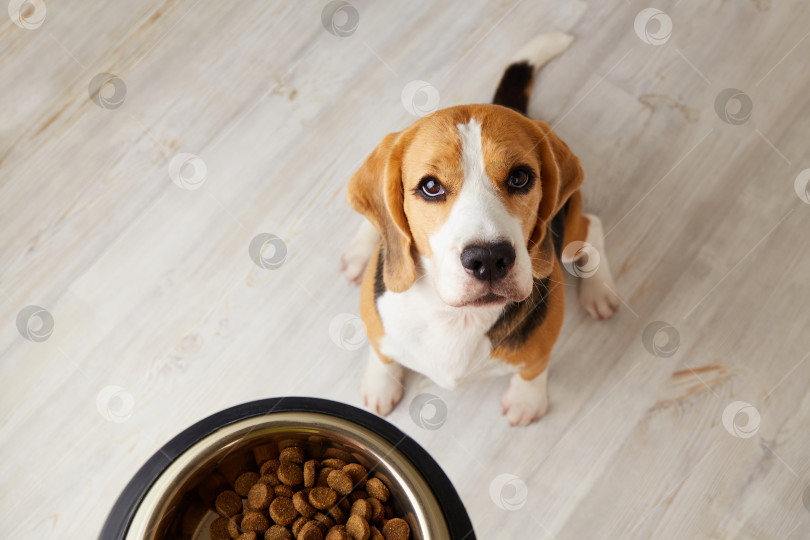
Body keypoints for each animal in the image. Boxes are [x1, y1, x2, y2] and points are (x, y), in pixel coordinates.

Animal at [338, 35, 616, 428]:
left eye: (520, 177)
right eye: (430, 186)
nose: (488, 259)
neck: (455, 316)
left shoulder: (542, 344)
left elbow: (533, 369)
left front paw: (527, 401)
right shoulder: (379, 325)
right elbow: (383, 353)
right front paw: (381, 383)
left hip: (569, 235)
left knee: (592, 226)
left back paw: (600, 290)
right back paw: (361, 250)